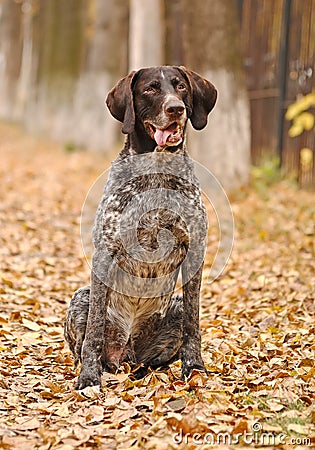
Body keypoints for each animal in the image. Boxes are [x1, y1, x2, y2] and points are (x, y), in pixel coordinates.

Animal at [64, 65, 217, 388]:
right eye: (150, 89)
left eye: (181, 86)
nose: (176, 108)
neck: (157, 172)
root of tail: (125, 353)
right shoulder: (106, 252)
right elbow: (94, 329)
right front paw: (89, 377)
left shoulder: (194, 251)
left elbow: (193, 323)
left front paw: (194, 367)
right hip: (81, 297)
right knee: (86, 343)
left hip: (170, 312)